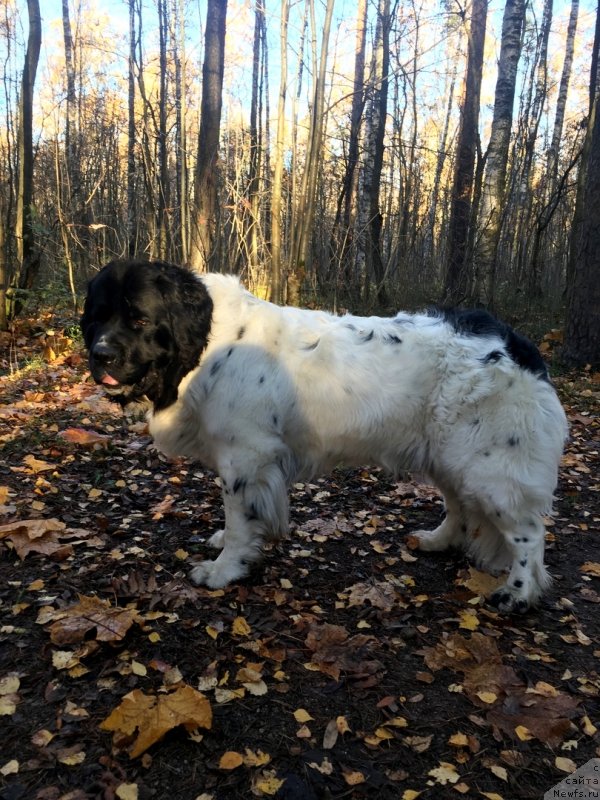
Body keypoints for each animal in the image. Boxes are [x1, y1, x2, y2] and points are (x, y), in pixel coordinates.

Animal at [81, 260, 568, 612]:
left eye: (140, 320)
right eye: (96, 318)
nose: (100, 355)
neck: (207, 343)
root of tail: (519, 345)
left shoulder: (246, 457)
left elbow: (240, 519)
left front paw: (223, 570)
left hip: (490, 468)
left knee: (528, 533)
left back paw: (519, 593)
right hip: (449, 457)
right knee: (460, 507)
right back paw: (437, 540)